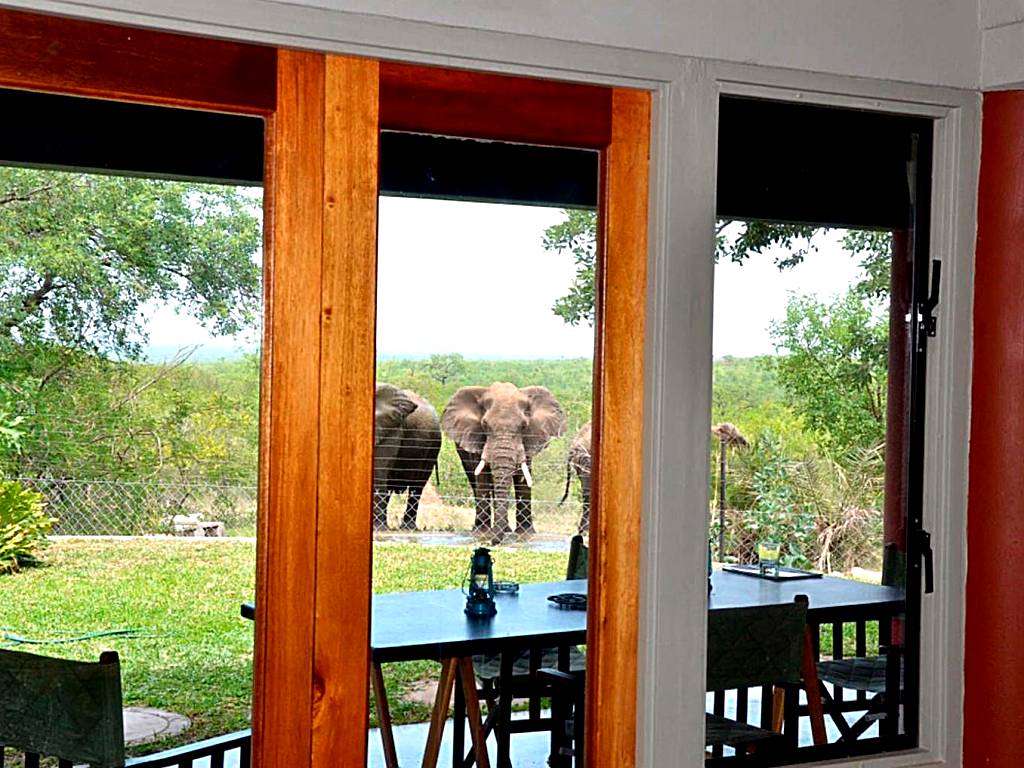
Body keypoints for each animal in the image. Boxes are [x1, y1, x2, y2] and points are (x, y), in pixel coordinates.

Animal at [374, 382, 442, 528]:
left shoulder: (393, 429)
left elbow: (378, 472)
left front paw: (377, 527)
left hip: (432, 448)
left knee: (417, 487)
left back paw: (407, 527)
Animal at [442, 382, 569, 540]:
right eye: (485, 425)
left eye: (523, 426)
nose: (494, 542)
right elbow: (483, 477)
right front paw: (483, 533)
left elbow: (523, 478)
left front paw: (525, 534)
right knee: (475, 481)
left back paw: (505, 529)